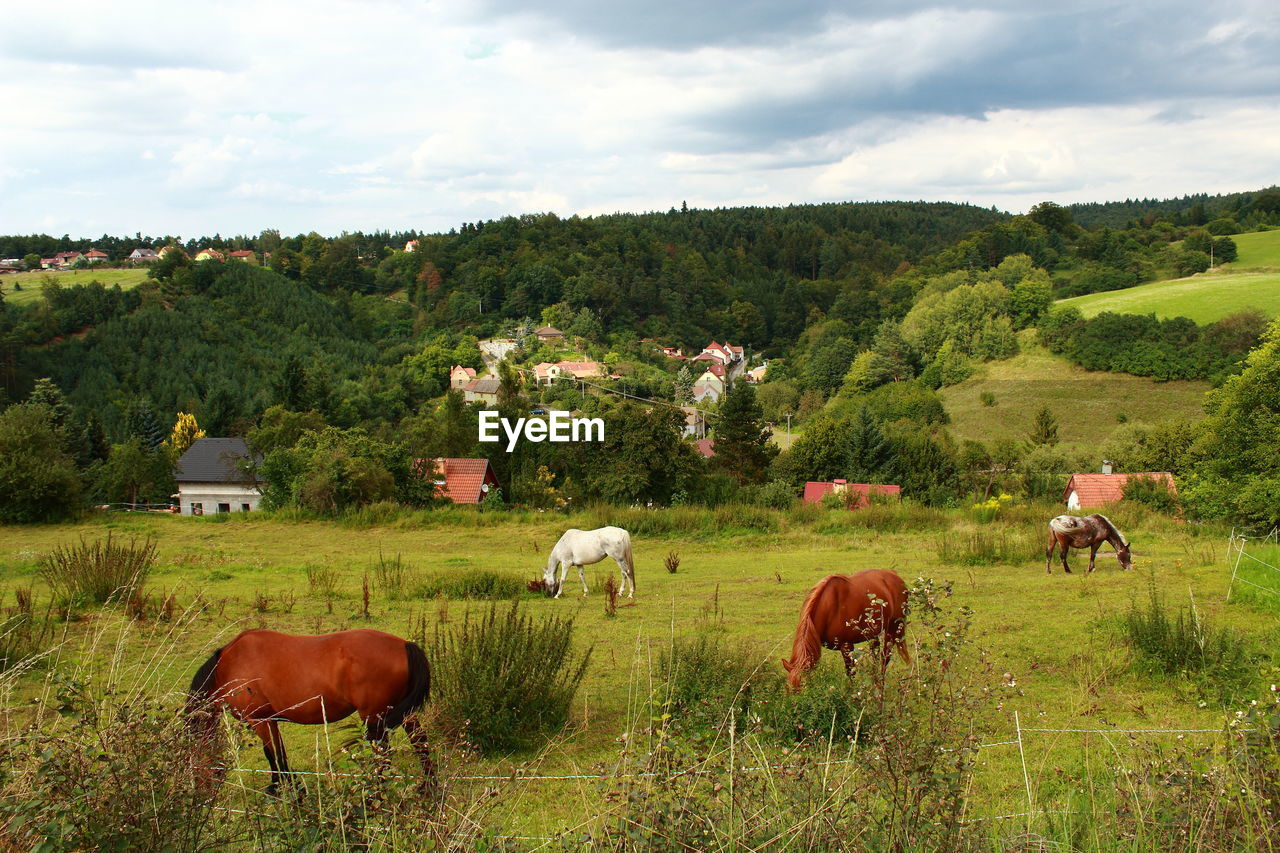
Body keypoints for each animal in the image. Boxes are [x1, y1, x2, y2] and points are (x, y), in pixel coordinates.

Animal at [186, 625, 435, 788]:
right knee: (420, 743)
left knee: (384, 757)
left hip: (375, 717)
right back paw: (427, 786)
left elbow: (273, 757)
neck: (229, 665)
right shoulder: (270, 720)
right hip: (402, 714)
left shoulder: (260, 721)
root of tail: (405, 645)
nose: (197, 790)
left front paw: (281, 789)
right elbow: (279, 754)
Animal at [778, 563, 911, 691]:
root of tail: (895, 575)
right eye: (788, 689)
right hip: (873, 633)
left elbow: (851, 673)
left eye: (804, 686)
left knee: (885, 657)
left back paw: (880, 688)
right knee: (876, 654)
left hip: (893, 628)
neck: (829, 608)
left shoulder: (846, 646)